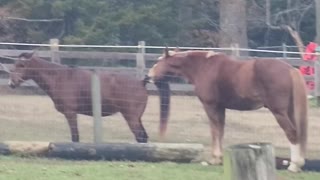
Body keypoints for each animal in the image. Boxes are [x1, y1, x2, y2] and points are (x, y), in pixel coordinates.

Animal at [5, 52, 170, 143]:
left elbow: (75, 137)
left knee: (140, 136)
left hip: (131, 117)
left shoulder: (71, 114)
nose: (11, 83)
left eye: (22, 65)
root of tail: (141, 82)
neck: (60, 78)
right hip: (136, 118)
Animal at [148, 48, 308, 172]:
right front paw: (219, 158)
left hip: (279, 112)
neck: (204, 67)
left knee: (291, 133)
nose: (149, 75)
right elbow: (220, 130)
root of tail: (290, 69)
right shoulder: (220, 108)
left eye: (158, 61)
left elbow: (214, 130)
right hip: (289, 111)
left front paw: (214, 159)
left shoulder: (211, 106)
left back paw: (294, 166)